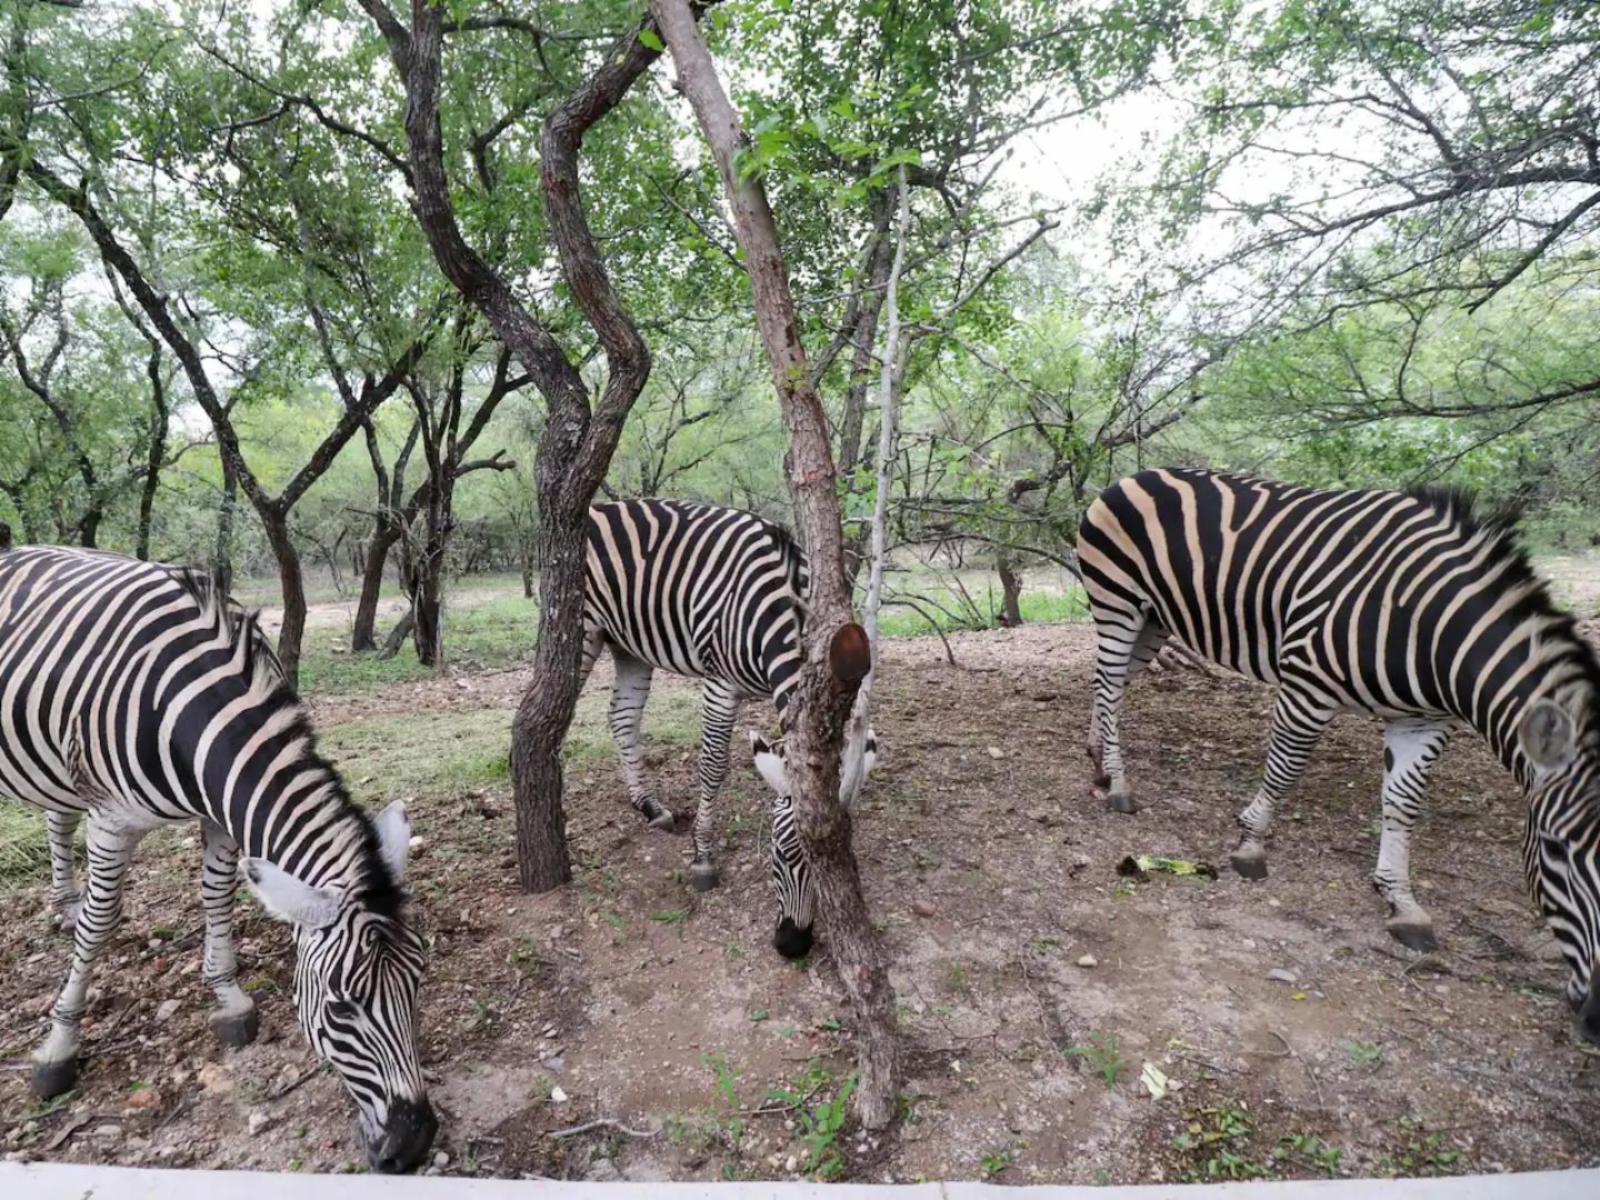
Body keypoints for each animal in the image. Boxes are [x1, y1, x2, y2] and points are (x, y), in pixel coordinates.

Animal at [4, 550, 438, 1177]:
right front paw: (59, 1045)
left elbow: (217, 897)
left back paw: (61, 904)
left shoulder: (223, 811)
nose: (416, 1142)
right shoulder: (111, 819)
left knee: (56, 816)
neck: (186, 709)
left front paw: (228, 998)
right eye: (339, 1008)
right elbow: (100, 924)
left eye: (419, 980)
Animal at [576, 499, 876, 960]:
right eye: (780, 852)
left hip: (628, 644)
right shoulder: (720, 684)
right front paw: (703, 857)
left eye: (840, 858)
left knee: (622, 715)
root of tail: (602, 506)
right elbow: (713, 766)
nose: (793, 945)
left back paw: (649, 805)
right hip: (585, 630)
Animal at [1075, 470, 1600, 1043]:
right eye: (1554, 850)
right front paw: (1251, 845)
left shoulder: (1424, 722)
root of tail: (1137, 474)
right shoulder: (1308, 684)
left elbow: (1402, 806)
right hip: (1119, 602)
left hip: (1155, 619)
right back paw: (1118, 782)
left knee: (1110, 686)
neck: (1429, 629)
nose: (1597, 1015)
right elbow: (1284, 770)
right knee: (1107, 684)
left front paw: (1401, 901)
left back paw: (1098, 759)